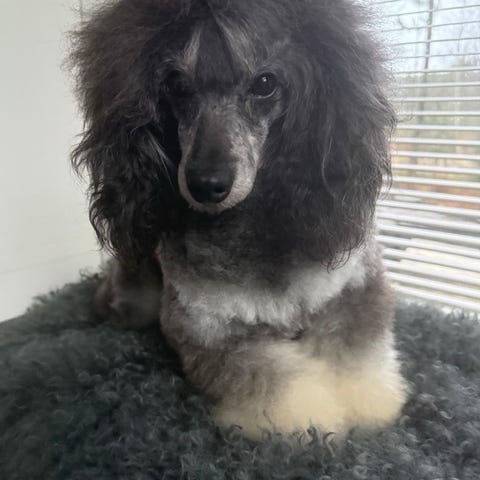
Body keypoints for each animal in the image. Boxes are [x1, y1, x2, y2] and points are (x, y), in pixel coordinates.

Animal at [71, 0, 407, 439]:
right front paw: (315, 421)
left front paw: (367, 407)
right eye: (176, 85)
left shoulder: (355, 292)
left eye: (265, 83)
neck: (252, 222)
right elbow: (276, 386)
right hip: (134, 300)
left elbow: (357, 357)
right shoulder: (208, 329)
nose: (206, 184)